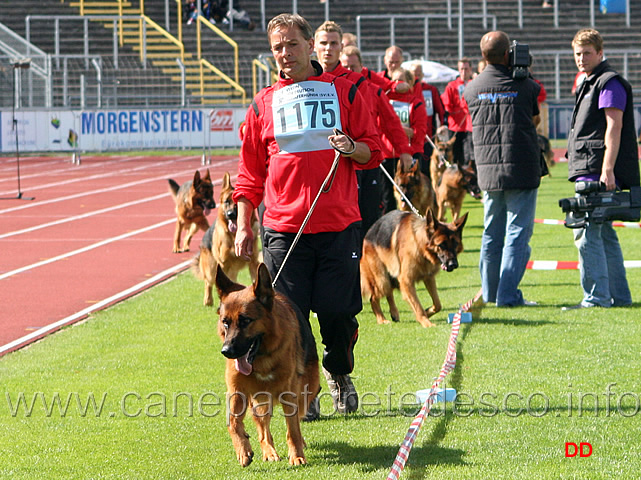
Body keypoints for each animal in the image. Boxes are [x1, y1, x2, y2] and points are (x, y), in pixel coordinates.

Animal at [192, 172, 260, 306]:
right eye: (226, 202)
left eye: (237, 204)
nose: (230, 214)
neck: (234, 236)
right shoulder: (223, 265)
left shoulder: (253, 263)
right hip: (212, 268)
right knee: (208, 282)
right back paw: (208, 300)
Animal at [216, 264, 320, 466]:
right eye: (225, 322)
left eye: (245, 321)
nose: (226, 351)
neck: (261, 360)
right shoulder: (236, 391)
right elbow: (233, 422)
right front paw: (243, 450)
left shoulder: (290, 394)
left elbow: (293, 430)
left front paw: (297, 456)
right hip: (260, 401)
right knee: (263, 430)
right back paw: (269, 452)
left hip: (306, 391)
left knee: (297, 419)